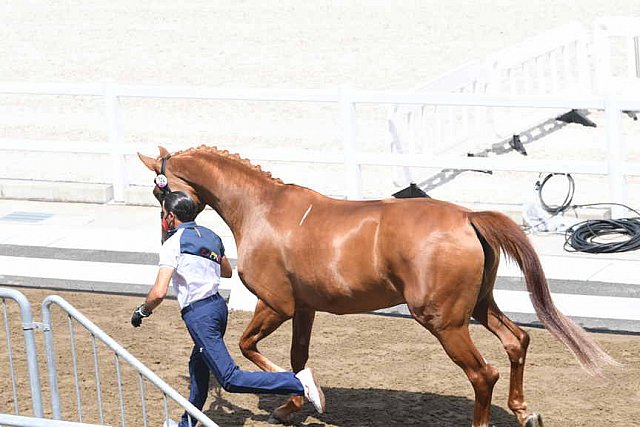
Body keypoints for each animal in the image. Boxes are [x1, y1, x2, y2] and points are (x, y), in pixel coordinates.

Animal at [139, 146, 616, 427]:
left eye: (158, 190)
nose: (166, 230)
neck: (262, 209)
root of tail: (468, 216)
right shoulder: (305, 308)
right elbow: (297, 357)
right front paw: (298, 400)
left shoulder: (277, 305)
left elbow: (247, 345)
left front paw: (296, 396)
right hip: (479, 307)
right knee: (517, 341)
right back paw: (523, 411)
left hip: (444, 322)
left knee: (484, 374)